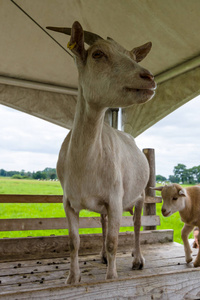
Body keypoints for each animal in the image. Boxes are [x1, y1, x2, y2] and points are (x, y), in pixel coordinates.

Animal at [47, 21, 156, 284]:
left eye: (132, 57)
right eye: (98, 54)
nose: (148, 77)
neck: (84, 164)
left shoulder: (116, 199)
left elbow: (114, 241)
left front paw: (111, 278)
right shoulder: (69, 202)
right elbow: (74, 242)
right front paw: (72, 278)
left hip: (138, 195)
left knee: (136, 224)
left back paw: (137, 259)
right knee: (104, 222)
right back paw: (104, 258)